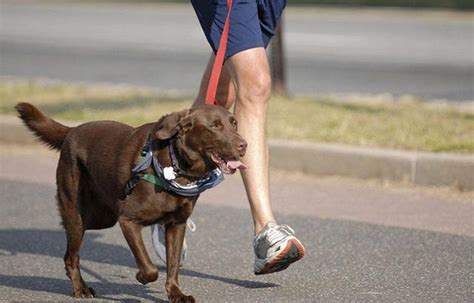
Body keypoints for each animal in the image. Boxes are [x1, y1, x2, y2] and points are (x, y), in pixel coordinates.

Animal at [15, 102, 248, 303]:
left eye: (234, 123)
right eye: (215, 126)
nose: (244, 145)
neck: (177, 167)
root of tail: (72, 131)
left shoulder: (176, 224)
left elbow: (172, 265)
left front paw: (176, 293)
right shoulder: (128, 221)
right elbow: (150, 267)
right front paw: (141, 277)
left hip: (102, 218)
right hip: (78, 214)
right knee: (71, 257)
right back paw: (80, 288)